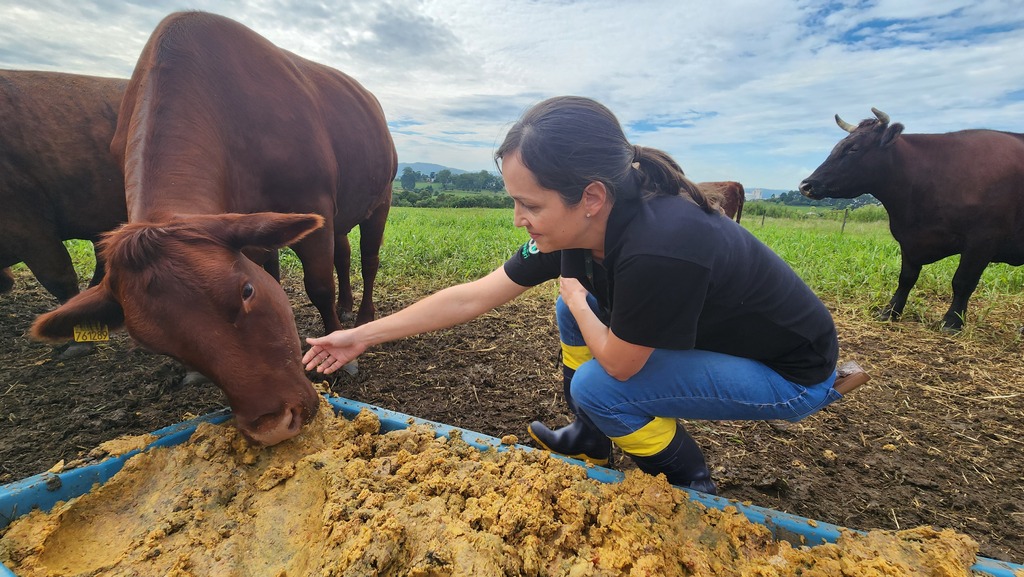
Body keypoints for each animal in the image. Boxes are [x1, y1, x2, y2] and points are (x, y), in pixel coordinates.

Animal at [29, 12, 397, 446]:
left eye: (245, 292)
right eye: (158, 345)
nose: (274, 426)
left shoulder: (313, 205)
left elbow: (318, 285)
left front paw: (338, 357)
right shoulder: (252, 228)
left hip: (380, 200)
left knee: (368, 260)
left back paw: (362, 314)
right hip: (339, 219)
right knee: (343, 253)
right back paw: (346, 305)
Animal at [798, 109, 1024, 334]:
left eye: (853, 149)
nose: (806, 185)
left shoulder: (982, 241)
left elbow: (963, 281)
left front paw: (952, 322)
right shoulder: (909, 240)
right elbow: (906, 278)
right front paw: (890, 311)